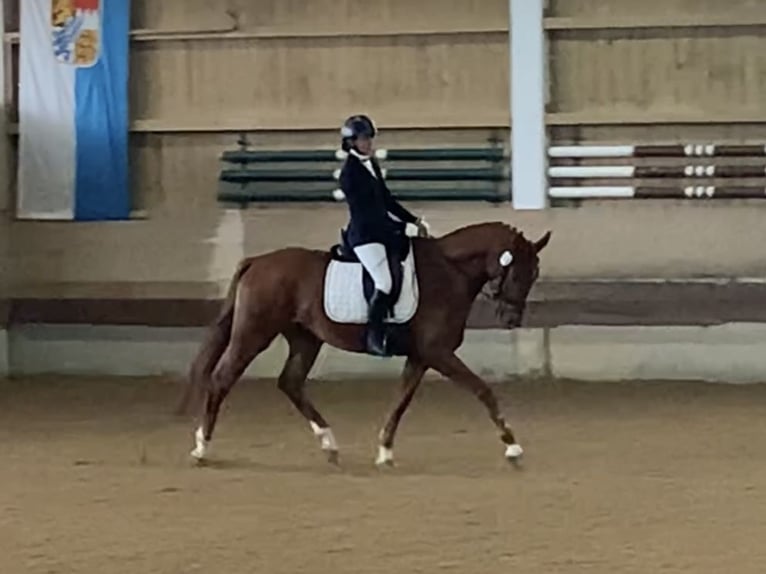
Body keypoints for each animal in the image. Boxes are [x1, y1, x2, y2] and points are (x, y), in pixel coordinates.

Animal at [180, 223, 552, 470]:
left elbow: (401, 400)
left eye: (534, 274)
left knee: (290, 382)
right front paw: (513, 447)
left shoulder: (421, 356)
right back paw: (201, 448)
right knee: (222, 378)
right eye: (518, 273)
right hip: (253, 334)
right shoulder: (439, 353)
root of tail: (256, 261)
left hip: (305, 338)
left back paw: (329, 444)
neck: (449, 271)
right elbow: (482, 390)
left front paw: (385, 451)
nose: (511, 319)